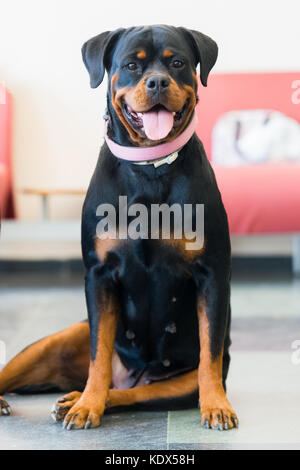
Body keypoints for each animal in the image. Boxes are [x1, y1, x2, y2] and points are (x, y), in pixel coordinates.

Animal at [0, 24, 239, 430]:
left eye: (177, 63)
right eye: (131, 65)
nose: (157, 81)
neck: (149, 166)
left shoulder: (212, 274)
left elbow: (209, 353)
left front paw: (217, 406)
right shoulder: (99, 275)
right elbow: (99, 354)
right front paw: (87, 405)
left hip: (175, 383)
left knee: (137, 392)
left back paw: (79, 398)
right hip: (57, 340)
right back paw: (76, 397)